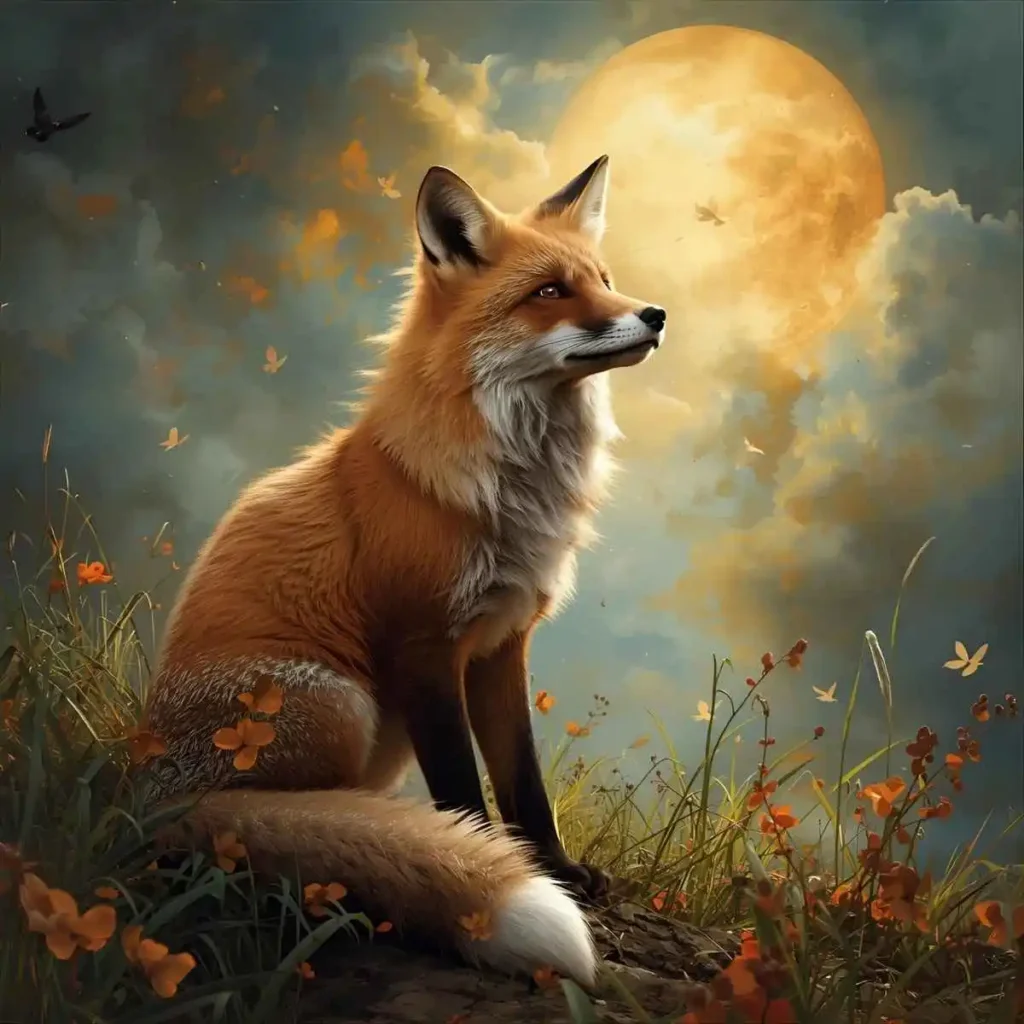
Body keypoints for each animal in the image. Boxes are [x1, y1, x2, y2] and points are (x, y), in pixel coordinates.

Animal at [142, 154, 666, 988]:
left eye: (604, 279)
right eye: (551, 292)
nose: (655, 314)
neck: (510, 488)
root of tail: (149, 790)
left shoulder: (501, 642)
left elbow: (523, 780)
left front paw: (553, 868)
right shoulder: (423, 645)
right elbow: (460, 790)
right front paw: (483, 864)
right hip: (341, 704)